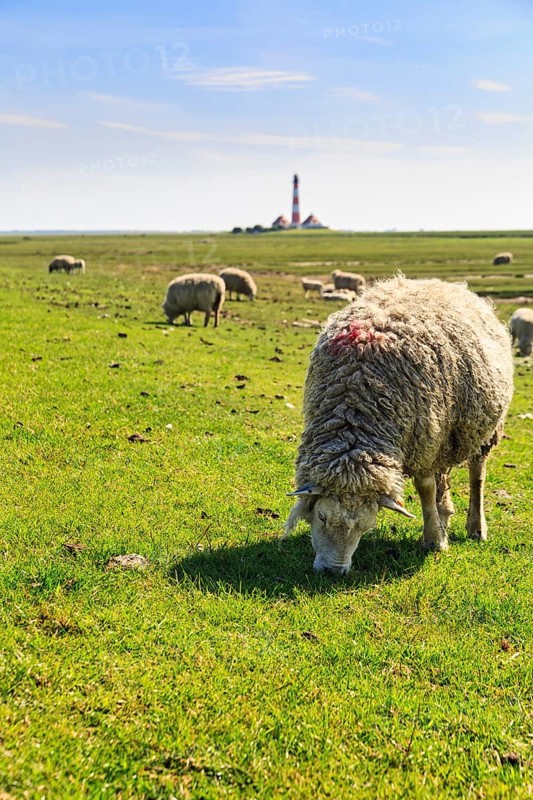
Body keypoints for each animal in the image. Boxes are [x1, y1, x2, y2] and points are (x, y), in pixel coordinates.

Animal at [284, 276, 514, 575]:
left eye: (366, 527)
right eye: (322, 517)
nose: (333, 571)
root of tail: (440, 283)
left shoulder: (422, 442)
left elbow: (426, 489)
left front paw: (433, 541)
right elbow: (432, 488)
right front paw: (438, 530)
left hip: (477, 432)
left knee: (477, 476)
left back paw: (475, 527)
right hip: (442, 435)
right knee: (444, 478)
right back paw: (444, 516)